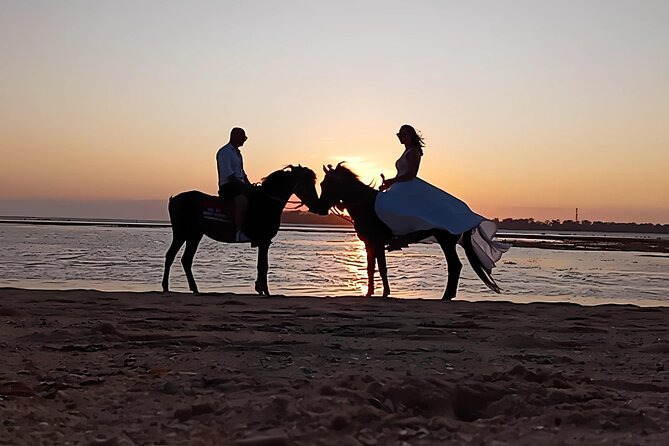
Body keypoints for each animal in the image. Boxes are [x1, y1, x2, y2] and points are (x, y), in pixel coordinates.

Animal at [162, 165, 320, 296]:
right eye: (306, 182)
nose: (316, 204)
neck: (265, 202)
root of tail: (174, 199)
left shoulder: (264, 242)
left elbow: (262, 265)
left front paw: (261, 289)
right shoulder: (264, 241)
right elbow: (263, 266)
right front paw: (264, 290)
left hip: (190, 235)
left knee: (178, 258)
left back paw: (181, 287)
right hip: (187, 234)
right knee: (179, 257)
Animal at [316, 163, 502, 299]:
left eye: (329, 184)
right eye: (322, 184)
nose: (321, 208)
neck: (365, 205)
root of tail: (467, 213)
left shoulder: (377, 242)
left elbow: (382, 268)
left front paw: (385, 293)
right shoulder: (369, 244)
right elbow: (370, 268)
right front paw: (369, 293)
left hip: (446, 241)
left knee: (455, 266)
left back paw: (446, 296)